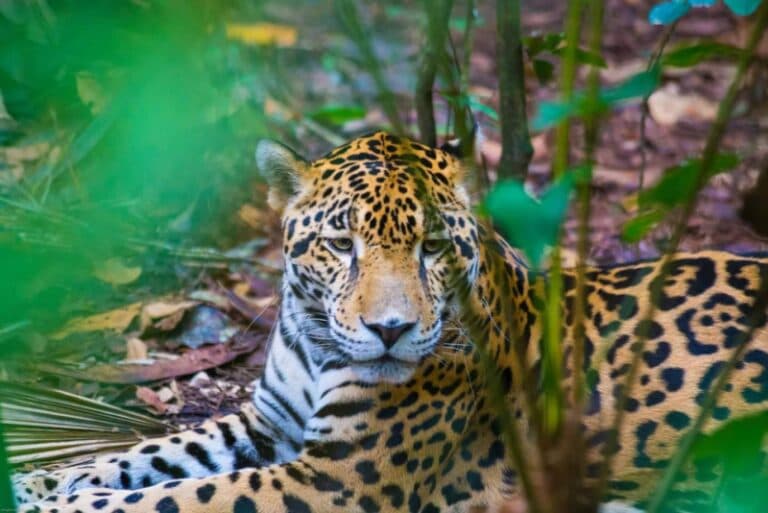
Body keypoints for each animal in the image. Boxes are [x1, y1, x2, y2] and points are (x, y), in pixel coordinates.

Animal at [11, 131, 768, 513]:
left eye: (432, 247)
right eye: (341, 243)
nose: (392, 330)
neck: (318, 344)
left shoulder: (329, 483)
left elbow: (172, 498)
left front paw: (59, 506)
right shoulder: (264, 425)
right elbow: (148, 456)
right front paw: (37, 483)